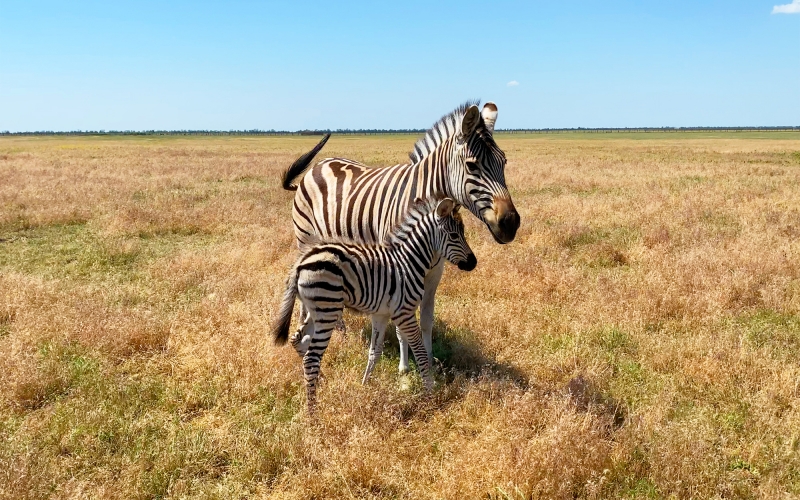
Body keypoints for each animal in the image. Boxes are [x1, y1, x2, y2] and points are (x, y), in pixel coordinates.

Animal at [272, 197, 476, 412]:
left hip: (316, 311)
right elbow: (419, 352)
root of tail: (301, 263)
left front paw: (365, 385)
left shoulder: (381, 314)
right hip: (328, 310)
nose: (473, 263)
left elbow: (374, 352)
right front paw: (430, 392)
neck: (409, 261)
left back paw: (321, 381)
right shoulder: (404, 312)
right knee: (312, 358)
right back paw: (313, 411)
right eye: (454, 235)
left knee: (298, 341)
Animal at [281, 101, 520, 375]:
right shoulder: (397, 266)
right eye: (472, 165)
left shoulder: (435, 270)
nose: (511, 223)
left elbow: (426, 319)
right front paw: (404, 367)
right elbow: (401, 324)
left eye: (504, 162)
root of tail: (318, 166)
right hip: (305, 239)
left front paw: (429, 361)